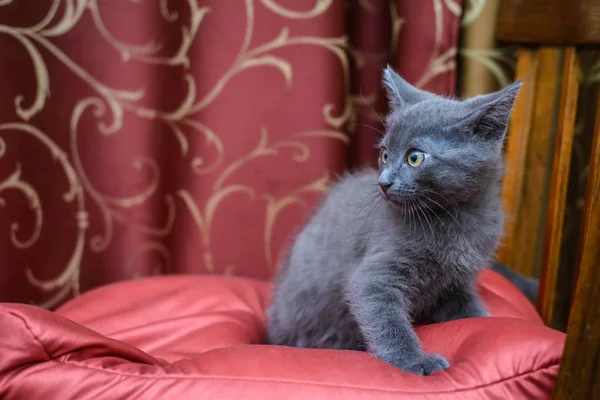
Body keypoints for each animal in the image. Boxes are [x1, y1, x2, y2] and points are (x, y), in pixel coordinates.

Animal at [268, 65, 520, 376]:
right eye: (385, 154)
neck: (456, 216)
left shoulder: (457, 282)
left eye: (415, 158)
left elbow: (470, 310)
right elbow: (387, 320)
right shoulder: (375, 275)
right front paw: (413, 361)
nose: (384, 182)